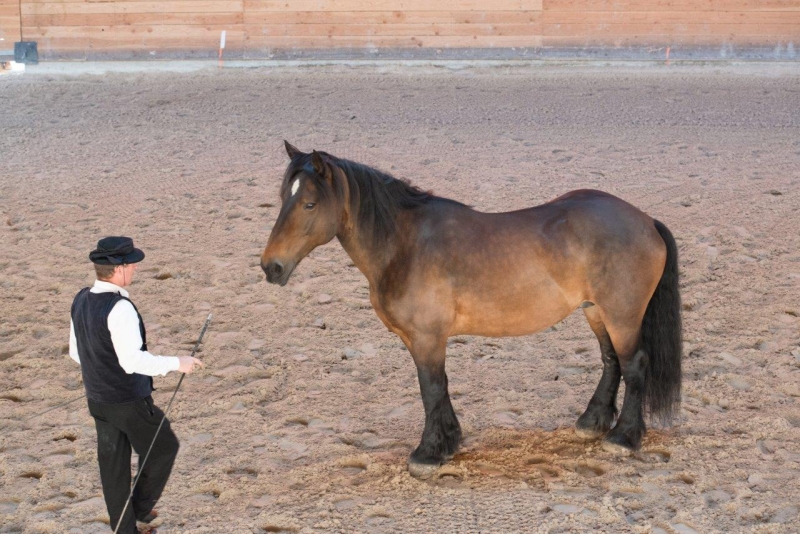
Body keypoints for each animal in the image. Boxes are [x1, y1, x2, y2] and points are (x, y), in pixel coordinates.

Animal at [262, 143, 680, 482]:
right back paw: (592, 423)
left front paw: (428, 453)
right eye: (283, 197)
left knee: (634, 364)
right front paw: (449, 442)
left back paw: (623, 437)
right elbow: (439, 388)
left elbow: (431, 388)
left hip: (622, 315)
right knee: (611, 361)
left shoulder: (428, 338)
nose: (271, 267)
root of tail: (645, 220)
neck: (404, 245)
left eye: (310, 204)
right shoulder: (423, 340)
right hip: (596, 312)